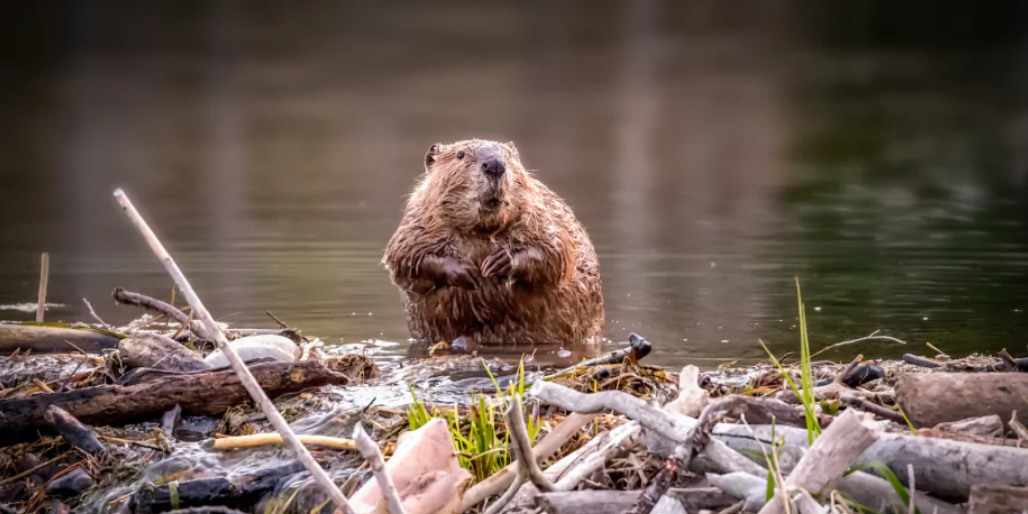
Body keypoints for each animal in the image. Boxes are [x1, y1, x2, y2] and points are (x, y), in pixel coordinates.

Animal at [382, 139, 600, 345]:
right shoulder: (416, 222)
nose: (495, 165)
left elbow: (555, 252)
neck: (482, 231)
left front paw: (499, 262)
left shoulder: (541, 214)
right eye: (460, 155)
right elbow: (404, 258)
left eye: (509, 156)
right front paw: (465, 271)